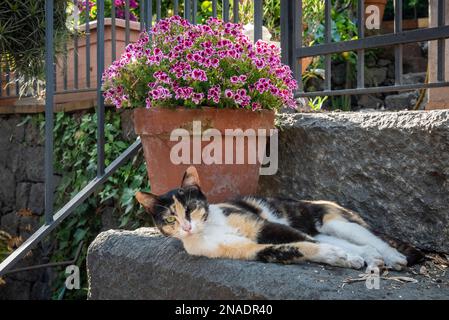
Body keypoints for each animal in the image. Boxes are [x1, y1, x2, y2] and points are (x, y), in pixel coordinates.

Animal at [135, 168, 422, 270]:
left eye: (191, 208)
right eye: (170, 219)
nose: (186, 226)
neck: (208, 230)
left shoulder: (262, 226)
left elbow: (301, 239)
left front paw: (346, 258)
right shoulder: (251, 250)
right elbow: (299, 247)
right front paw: (338, 257)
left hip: (335, 221)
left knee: (372, 239)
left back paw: (391, 257)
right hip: (325, 230)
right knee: (353, 244)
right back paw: (371, 257)